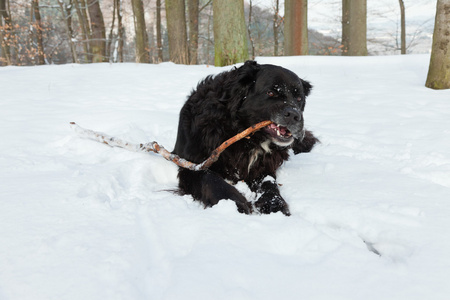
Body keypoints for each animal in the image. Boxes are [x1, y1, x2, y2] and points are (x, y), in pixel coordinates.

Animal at [172, 60, 316, 216]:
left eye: (299, 98)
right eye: (271, 92)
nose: (295, 115)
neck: (246, 136)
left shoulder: (263, 167)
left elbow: (269, 184)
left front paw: (274, 204)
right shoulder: (191, 165)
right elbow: (210, 179)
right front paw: (235, 201)